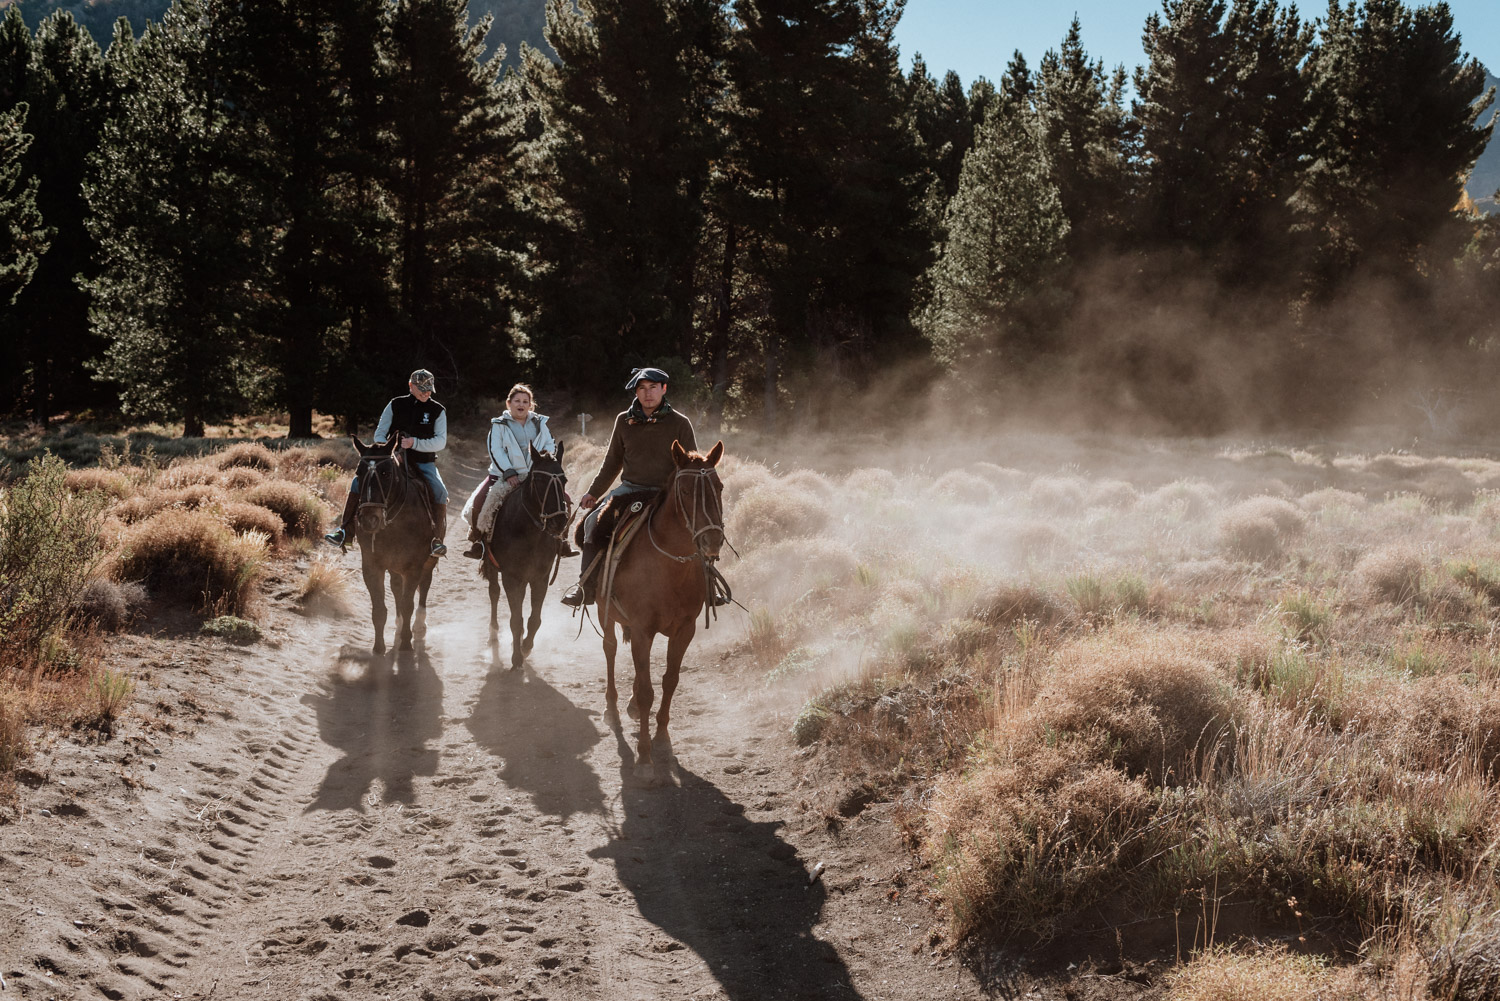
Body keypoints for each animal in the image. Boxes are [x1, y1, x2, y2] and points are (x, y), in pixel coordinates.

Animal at [343, 435, 432, 654]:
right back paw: (399, 627)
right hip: (394, 566)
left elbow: (408, 604)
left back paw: (419, 625)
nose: (369, 519)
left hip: (429, 561)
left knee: (424, 586)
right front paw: (378, 646)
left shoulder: (414, 567)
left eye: (386, 473)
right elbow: (379, 609)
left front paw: (407, 643)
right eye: (358, 472)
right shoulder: (372, 566)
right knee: (396, 588)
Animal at [483, 447, 570, 672]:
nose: (559, 521)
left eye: (564, 480)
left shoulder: (540, 578)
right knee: (493, 593)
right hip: (494, 568)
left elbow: (534, 619)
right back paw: (493, 632)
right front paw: (516, 658)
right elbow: (515, 620)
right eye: (538, 480)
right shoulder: (511, 578)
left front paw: (526, 647)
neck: (529, 533)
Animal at [597, 441, 726, 780]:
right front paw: (644, 758)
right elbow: (646, 692)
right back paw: (612, 708)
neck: (670, 566)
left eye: (720, 487)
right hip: (605, 614)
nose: (712, 540)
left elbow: (669, 680)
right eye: (685, 491)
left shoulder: (684, 630)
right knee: (610, 650)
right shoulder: (643, 630)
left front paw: (663, 738)